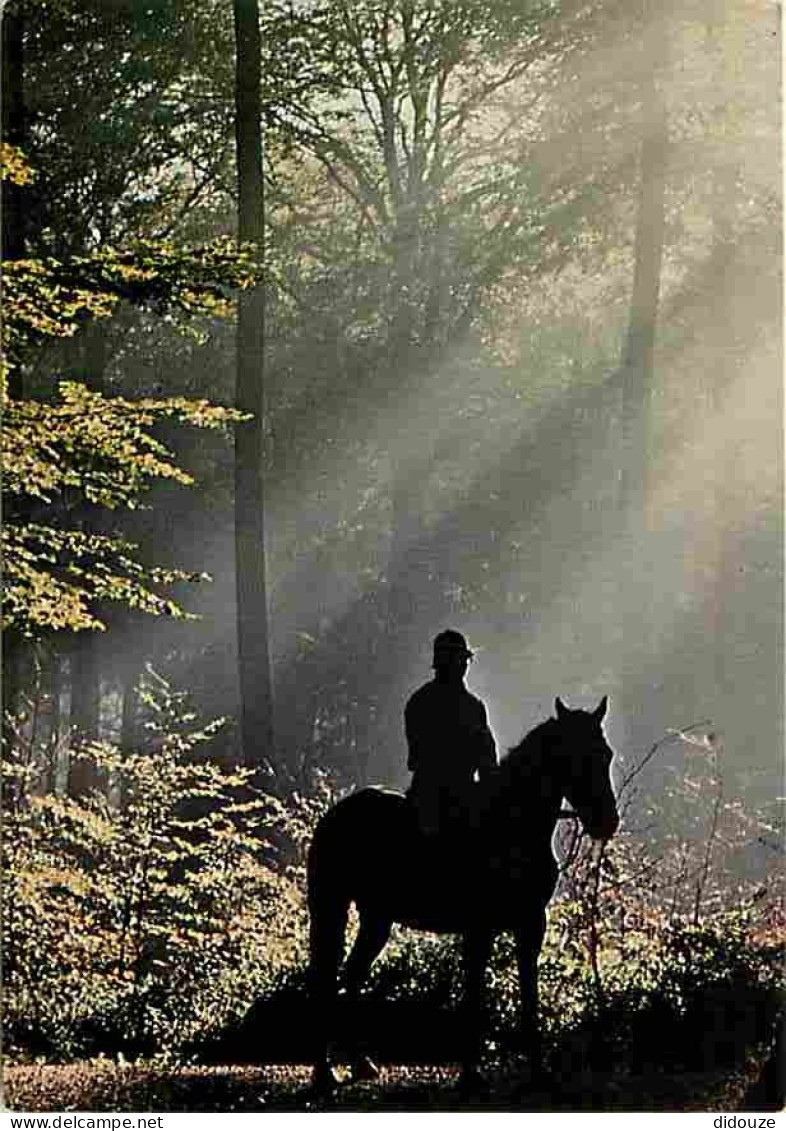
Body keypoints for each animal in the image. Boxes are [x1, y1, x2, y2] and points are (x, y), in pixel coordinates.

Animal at [305, 692, 619, 1090]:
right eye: (575, 756)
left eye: (605, 754)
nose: (606, 821)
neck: (510, 825)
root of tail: (336, 815)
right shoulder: (480, 929)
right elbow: (474, 997)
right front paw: (471, 1074)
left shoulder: (530, 925)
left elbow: (528, 995)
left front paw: (537, 1072)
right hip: (330, 907)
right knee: (325, 979)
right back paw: (324, 1073)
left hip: (377, 918)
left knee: (352, 975)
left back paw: (361, 1063)